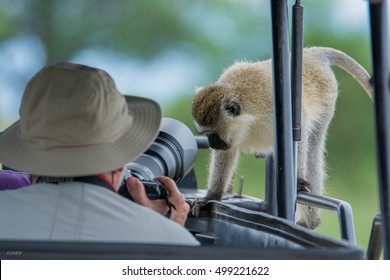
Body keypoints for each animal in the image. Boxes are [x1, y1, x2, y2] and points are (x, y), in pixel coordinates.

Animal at [190, 47, 374, 229]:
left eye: (214, 134)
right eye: (206, 134)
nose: (212, 144)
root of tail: (312, 54)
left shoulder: (274, 108)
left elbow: (300, 131)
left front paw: (298, 180)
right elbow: (226, 153)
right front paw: (212, 196)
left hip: (328, 98)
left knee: (312, 150)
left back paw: (310, 222)